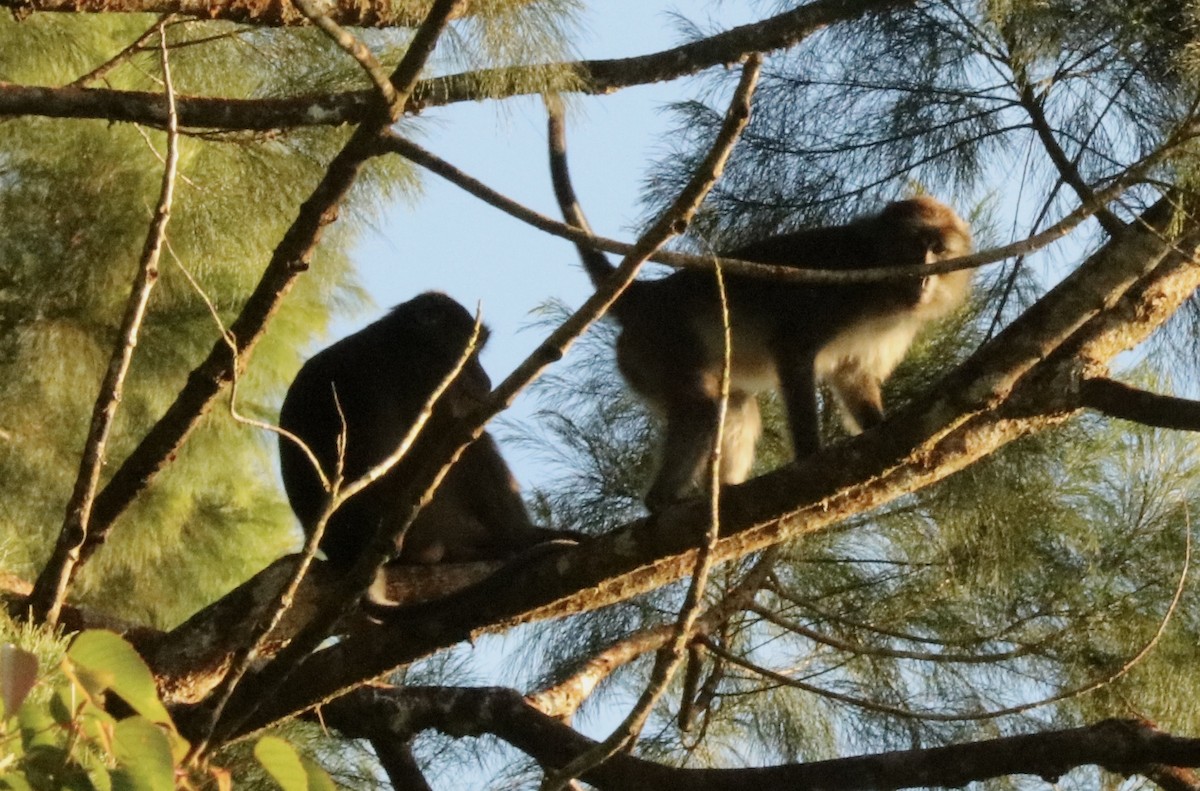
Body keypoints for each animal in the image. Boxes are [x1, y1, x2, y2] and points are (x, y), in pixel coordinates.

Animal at [546, 110, 972, 510]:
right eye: (915, 247)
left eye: (937, 250)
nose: (924, 277)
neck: (882, 290)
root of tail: (650, 294)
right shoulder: (840, 288)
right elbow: (793, 349)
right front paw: (810, 456)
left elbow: (853, 375)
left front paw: (879, 429)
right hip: (658, 346)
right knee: (704, 408)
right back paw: (664, 500)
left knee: (735, 405)